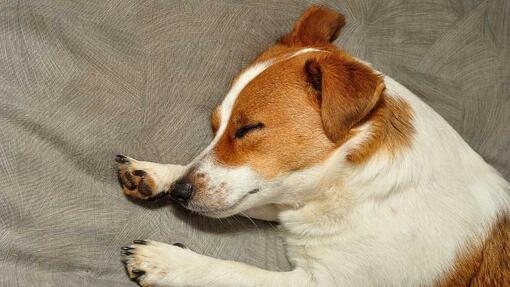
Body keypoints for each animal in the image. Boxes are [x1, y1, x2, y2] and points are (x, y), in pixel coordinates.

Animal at [115, 5, 510, 287]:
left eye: (248, 128)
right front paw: (157, 173)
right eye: (216, 126)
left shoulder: (324, 282)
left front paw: (168, 262)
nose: (180, 191)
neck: (357, 184)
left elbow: (235, 272)